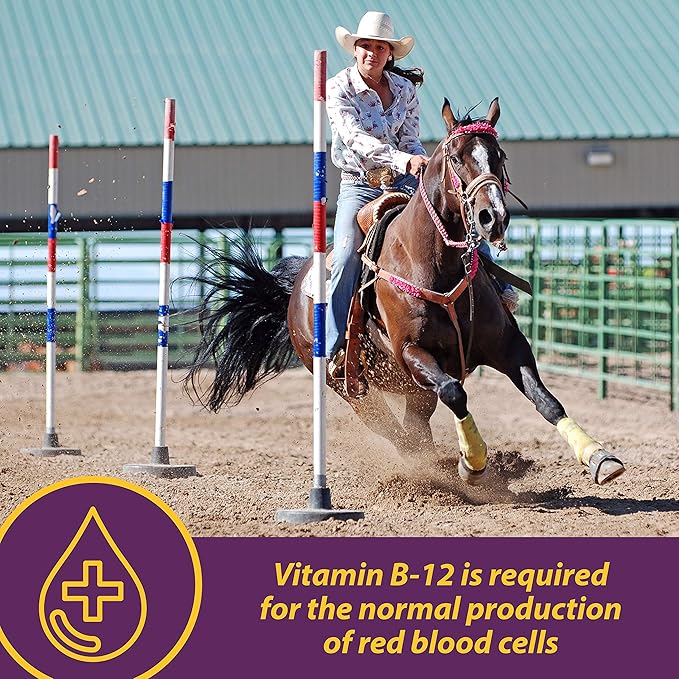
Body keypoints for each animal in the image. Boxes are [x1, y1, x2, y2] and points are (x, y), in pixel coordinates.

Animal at [183, 97, 625, 488]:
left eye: (498, 155)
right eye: (455, 157)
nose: (492, 217)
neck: (435, 266)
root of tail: (294, 291)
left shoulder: (508, 345)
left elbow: (546, 400)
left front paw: (599, 457)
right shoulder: (413, 352)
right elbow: (455, 392)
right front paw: (473, 464)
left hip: (411, 389)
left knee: (415, 429)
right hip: (351, 388)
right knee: (398, 433)